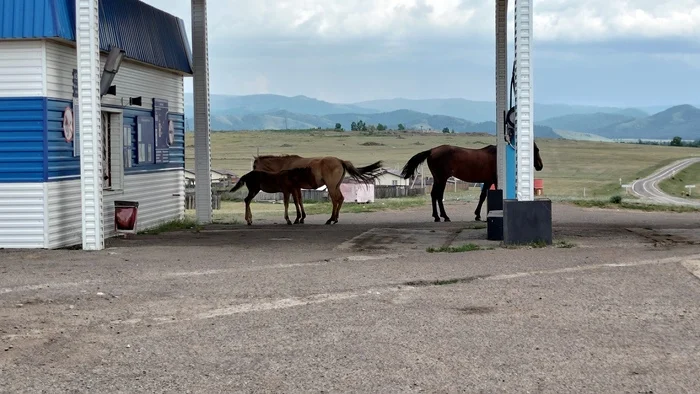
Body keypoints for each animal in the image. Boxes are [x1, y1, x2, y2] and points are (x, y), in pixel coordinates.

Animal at [252, 155, 382, 226]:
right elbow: (300, 200)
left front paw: (297, 218)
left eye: (254, 166)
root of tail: (340, 161)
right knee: (340, 199)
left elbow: (296, 201)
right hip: (336, 186)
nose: (252, 173)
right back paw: (335, 218)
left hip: (331, 186)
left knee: (335, 200)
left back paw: (331, 219)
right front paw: (302, 218)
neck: (286, 165)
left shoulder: (293, 188)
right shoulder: (297, 188)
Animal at [402, 142, 544, 223]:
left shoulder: (487, 181)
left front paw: (477, 215)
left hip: (437, 179)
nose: (540, 166)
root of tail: (432, 151)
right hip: (442, 179)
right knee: (439, 196)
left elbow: (482, 197)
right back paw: (445, 216)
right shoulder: (494, 180)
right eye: (536, 150)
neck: (498, 156)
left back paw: (436, 216)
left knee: (433, 195)